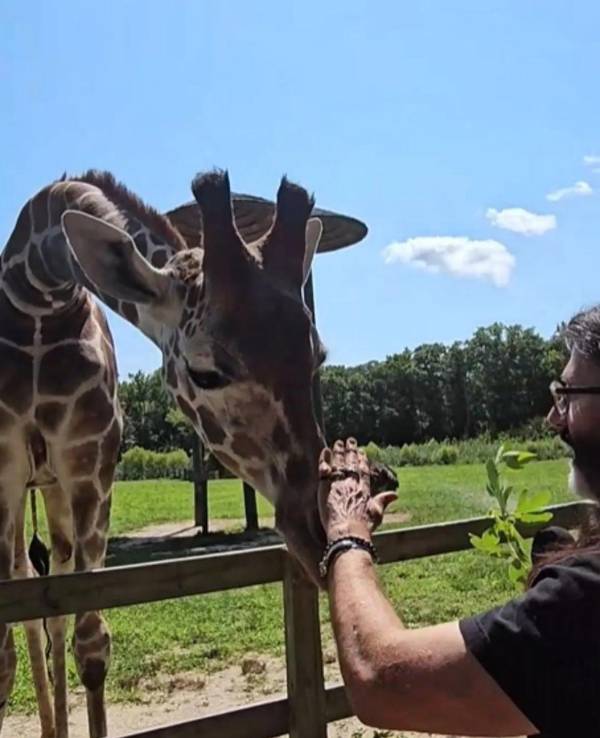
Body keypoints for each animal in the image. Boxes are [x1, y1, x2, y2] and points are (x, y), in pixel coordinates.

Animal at [0, 168, 328, 736]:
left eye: (318, 357)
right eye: (205, 371)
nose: (318, 533)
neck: (38, 301)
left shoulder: (91, 468)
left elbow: (90, 641)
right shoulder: (2, 475)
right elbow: (2, 656)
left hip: (54, 490)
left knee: (51, 601)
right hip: (26, 492)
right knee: (27, 591)